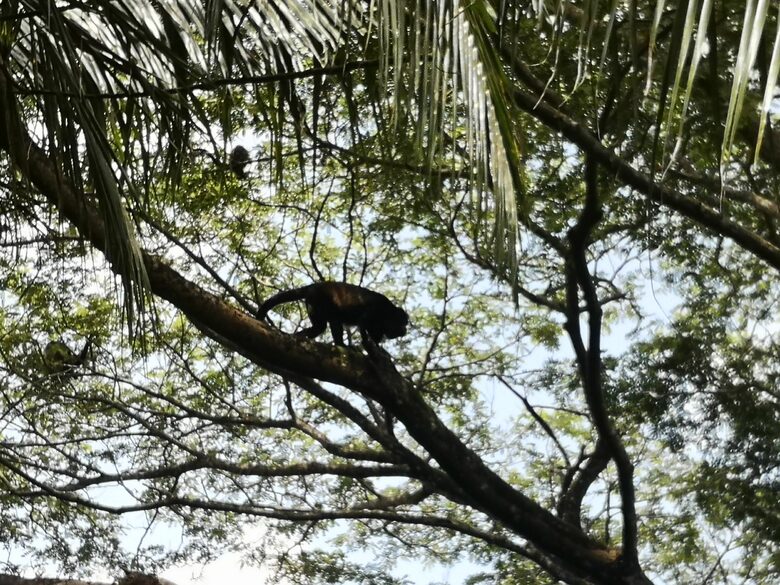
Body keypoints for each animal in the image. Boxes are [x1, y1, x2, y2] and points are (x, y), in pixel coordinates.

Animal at [256, 282, 409, 346]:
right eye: (403, 322)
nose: (405, 329)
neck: (387, 312)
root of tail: (313, 286)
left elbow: (375, 333)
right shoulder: (376, 308)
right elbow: (363, 322)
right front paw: (368, 342)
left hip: (312, 304)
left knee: (319, 327)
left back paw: (299, 336)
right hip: (321, 299)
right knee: (334, 320)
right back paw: (342, 345)